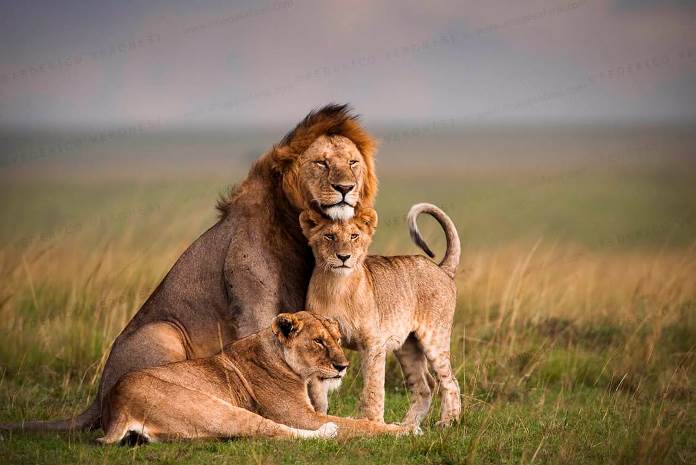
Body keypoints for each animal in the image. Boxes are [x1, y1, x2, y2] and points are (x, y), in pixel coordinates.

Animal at [0, 103, 378, 430]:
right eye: (321, 163)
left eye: (352, 163)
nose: (345, 188)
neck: (295, 228)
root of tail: (97, 398)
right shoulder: (253, 305)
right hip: (162, 332)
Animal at [97, 310, 414, 440]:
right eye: (318, 341)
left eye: (337, 339)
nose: (343, 366)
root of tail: (116, 405)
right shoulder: (300, 416)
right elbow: (359, 425)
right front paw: (403, 430)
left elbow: (360, 420)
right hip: (214, 407)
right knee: (274, 431)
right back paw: (328, 431)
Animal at [300, 201, 460, 426]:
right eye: (329, 236)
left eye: (354, 236)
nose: (343, 257)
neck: (337, 286)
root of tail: (442, 269)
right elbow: (316, 390)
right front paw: (319, 418)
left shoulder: (373, 344)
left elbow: (373, 388)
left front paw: (373, 423)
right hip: (407, 347)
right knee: (424, 386)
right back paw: (408, 426)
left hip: (435, 338)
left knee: (450, 381)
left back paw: (448, 422)